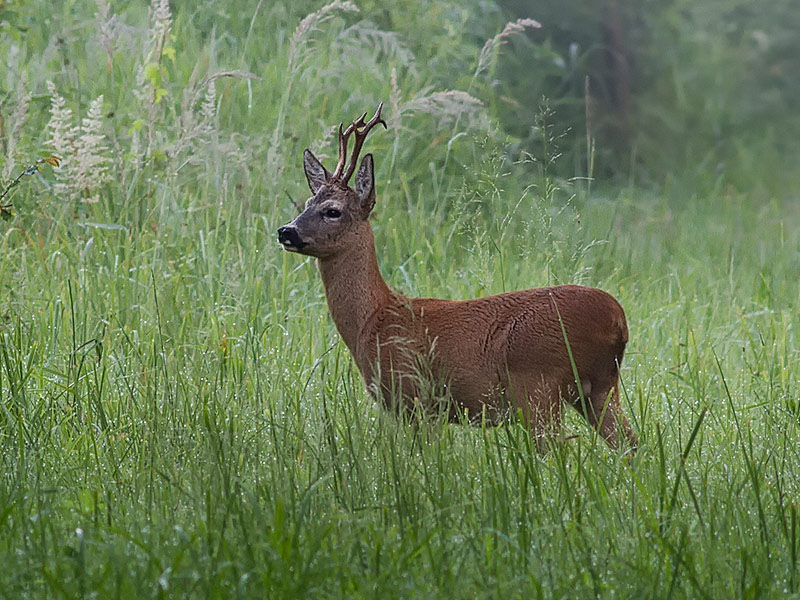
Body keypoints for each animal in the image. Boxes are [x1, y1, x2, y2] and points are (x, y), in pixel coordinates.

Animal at [278, 104, 640, 450]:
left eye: (333, 210)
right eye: (307, 202)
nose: (286, 231)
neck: (375, 318)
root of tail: (618, 320)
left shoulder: (416, 397)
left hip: (539, 387)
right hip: (597, 388)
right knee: (632, 446)